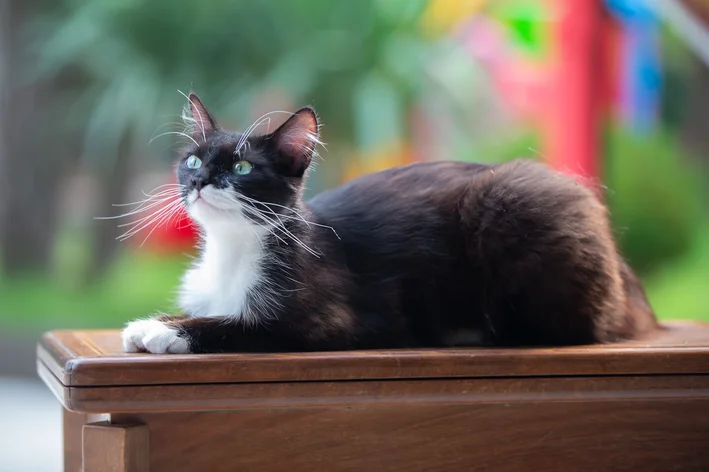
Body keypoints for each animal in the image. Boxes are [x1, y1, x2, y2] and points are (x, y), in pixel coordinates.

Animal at [121, 94, 660, 354]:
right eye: (193, 160)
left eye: (242, 168)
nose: (200, 181)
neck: (234, 250)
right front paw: (161, 321)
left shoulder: (336, 319)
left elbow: (245, 326)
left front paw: (162, 330)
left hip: (516, 199)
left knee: (567, 325)